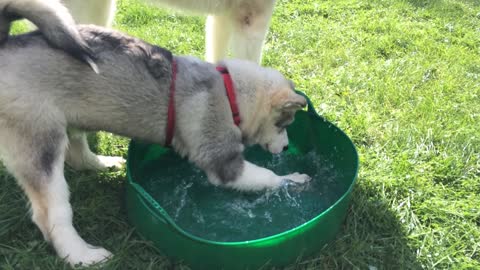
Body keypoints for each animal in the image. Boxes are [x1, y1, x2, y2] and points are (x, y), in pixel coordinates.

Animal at [0, 25, 312, 266]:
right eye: (283, 124)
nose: (286, 149)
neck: (229, 91)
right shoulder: (222, 160)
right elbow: (265, 176)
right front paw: (294, 179)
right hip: (39, 139)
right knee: (49, 214)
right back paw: (81, 255)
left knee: (77, 155)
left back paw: (105, 163)